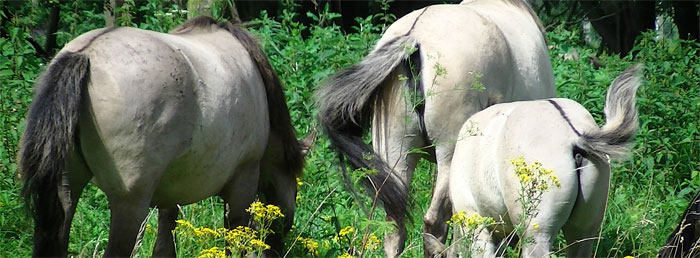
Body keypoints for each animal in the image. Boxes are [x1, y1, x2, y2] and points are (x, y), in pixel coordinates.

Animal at [18, 17, 308, 256]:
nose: (277, 247)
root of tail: (85, 54)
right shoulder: (243, 180)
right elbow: (234, 240)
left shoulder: (172, 190)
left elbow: (164, 244)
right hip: (130, 202)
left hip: (67, 188)